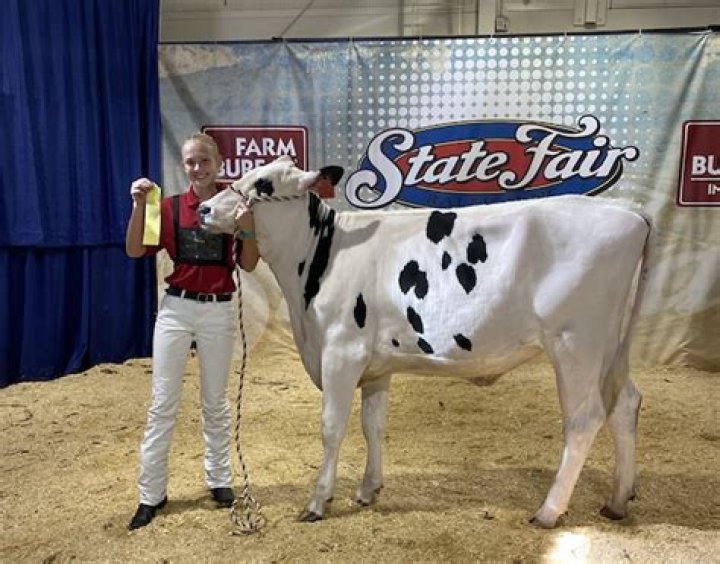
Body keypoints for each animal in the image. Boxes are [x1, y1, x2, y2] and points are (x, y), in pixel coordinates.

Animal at [198, 155, 652, 529]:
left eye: (263, 185)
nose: (204, 209)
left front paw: (318, 501)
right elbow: (373, 425)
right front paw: (368, 489)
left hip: (576, 343)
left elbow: (332, 427)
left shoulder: (341, 352)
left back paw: (549, 510)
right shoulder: (375, 364)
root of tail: (627, 211)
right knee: (625, 404)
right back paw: (617, 500)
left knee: (585, 418)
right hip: (610, 346)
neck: (317, 259)